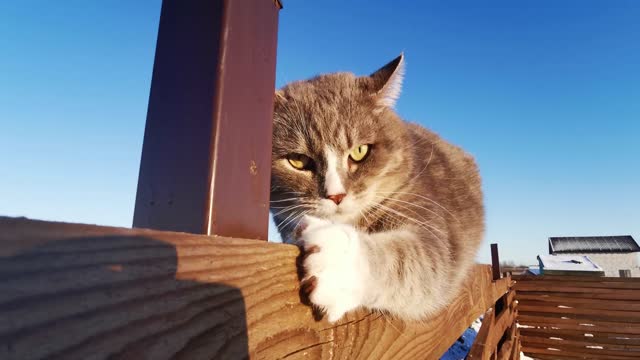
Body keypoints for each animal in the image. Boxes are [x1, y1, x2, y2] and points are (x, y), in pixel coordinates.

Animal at [270, 54, 484, 324]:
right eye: (298, 160)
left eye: (360, 151)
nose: (336, 195)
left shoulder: (428, 218)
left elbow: (419, 261)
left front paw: (336, 263)